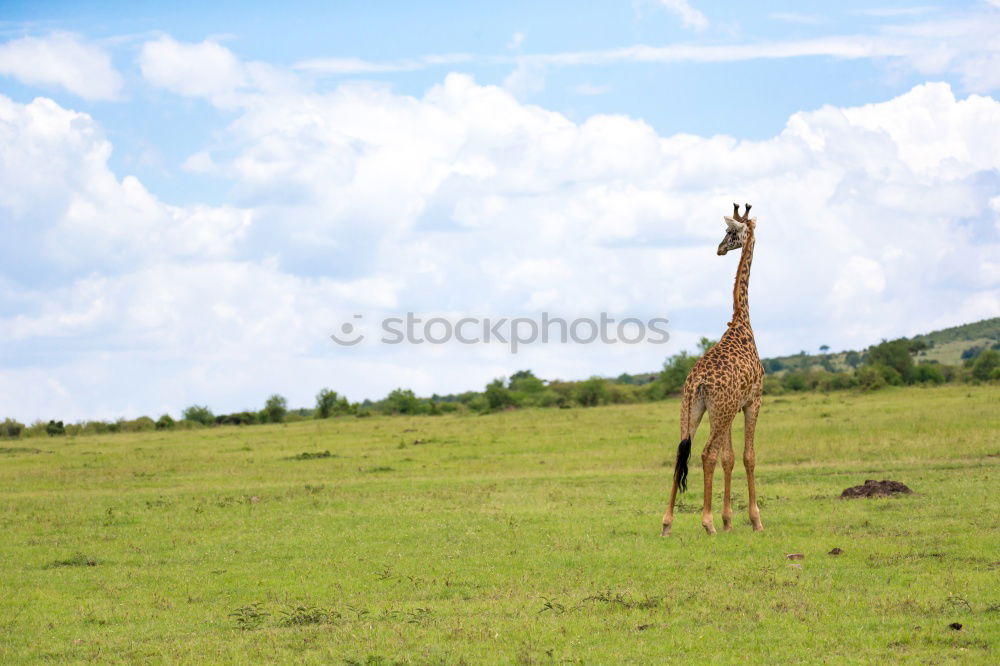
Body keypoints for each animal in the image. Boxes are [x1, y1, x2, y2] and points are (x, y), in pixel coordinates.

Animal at [664, 202, 764, 536]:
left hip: (693, 408)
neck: (742, 323)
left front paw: (729, 520)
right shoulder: (752, 401)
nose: (720, 249)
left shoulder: (731, 408)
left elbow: (729, 458)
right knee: (706, 453)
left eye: (730, 232)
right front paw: (754, 520)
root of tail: (697, 381)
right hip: (718, 410)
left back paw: (666, 523)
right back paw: (707, 524)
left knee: (681, 451)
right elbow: (747, 456)